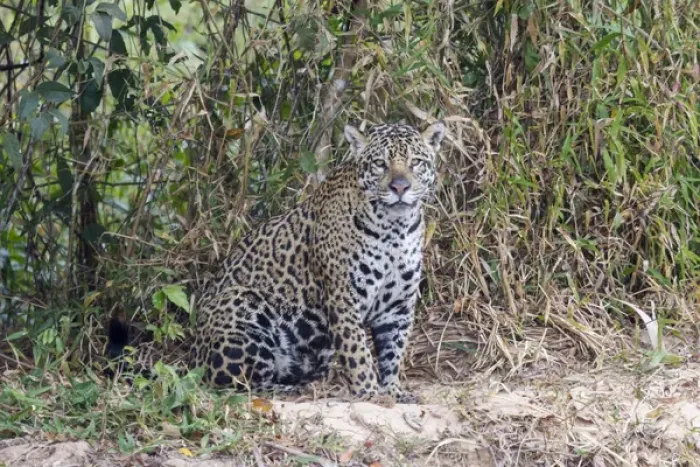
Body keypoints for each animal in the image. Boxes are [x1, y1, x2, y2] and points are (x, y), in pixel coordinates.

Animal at [107, 121, 446, 402]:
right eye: (380, 164)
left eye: (416, 162)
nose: (400, 187)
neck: (394, 229)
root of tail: (193, 356)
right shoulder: (344, 297)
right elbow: (358, 351)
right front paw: (370, 392)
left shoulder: (398, 305)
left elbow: (393, 351)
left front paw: (394, 390)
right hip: (241, 302)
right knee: (229, 382)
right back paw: (287, 389)